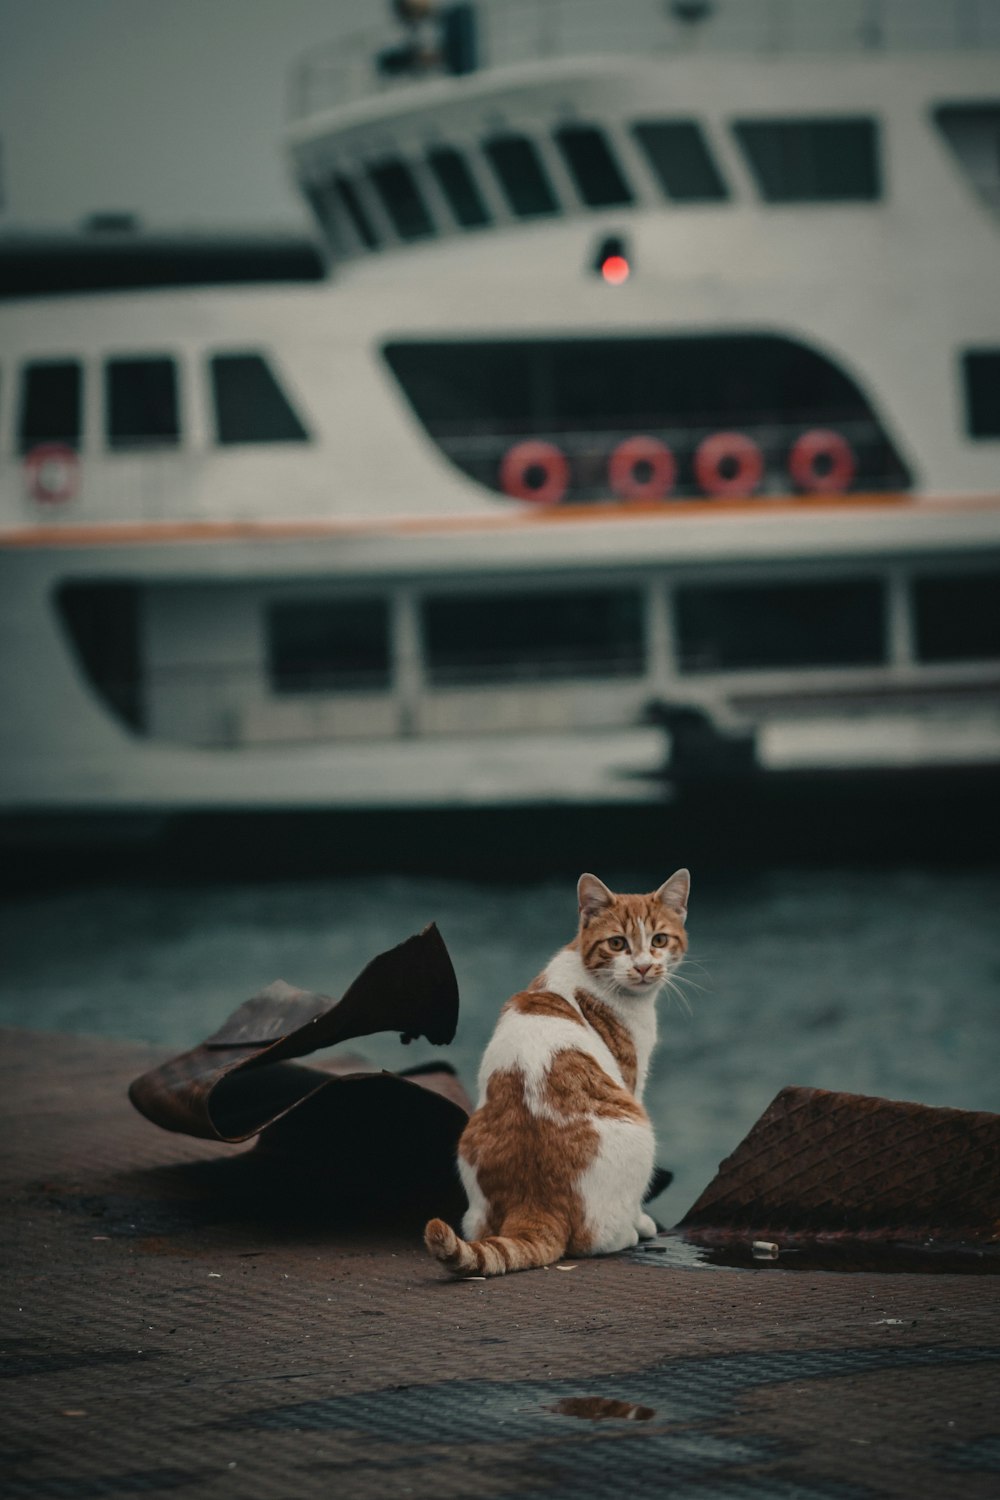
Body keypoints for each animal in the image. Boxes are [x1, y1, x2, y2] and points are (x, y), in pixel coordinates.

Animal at [422, 876, 689, 1284]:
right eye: (617, 944)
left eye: (659, 940)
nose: (644, 967)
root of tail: (535, 1202)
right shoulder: (633, 1079)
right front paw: (644, 1222)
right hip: (637, 1126)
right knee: (596, 1239)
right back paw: (629, 1231)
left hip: (470, 1153)